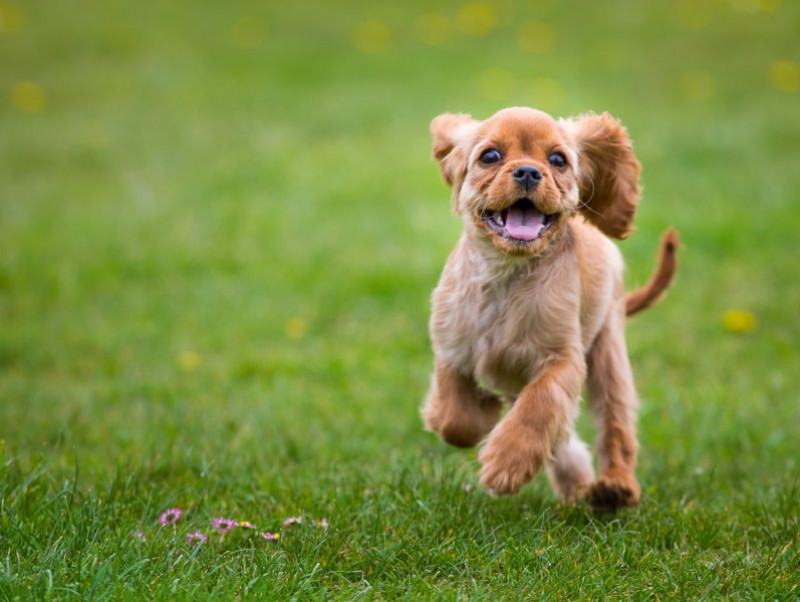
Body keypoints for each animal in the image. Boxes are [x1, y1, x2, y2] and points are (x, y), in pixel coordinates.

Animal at [422, 106, 680, 506]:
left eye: (558, 160)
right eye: (490, 156)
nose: (528, 171)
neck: (506, 274)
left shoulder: (563, 358)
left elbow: (540, 405)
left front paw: (507, 463)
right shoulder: (451, 345)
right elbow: (453, 416)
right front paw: (482, 412)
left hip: (609, 351)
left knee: (615, 426)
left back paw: (614, 488)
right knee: (564, 439)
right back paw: (578, 488)